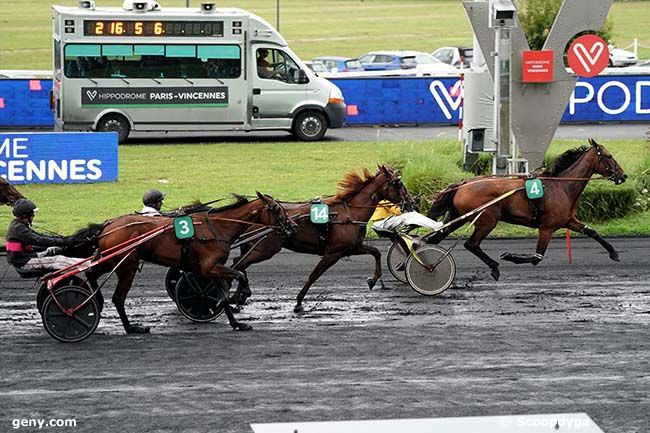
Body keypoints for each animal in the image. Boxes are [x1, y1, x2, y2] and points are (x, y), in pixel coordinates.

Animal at [74, 193, 294, 334]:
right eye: (276, 208)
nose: (292, 226)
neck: (217, 227)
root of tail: (107, 226)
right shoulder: (210, 267)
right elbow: (238, 276)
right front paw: (239, 297)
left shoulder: (212, 268)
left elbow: (222, 294)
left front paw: (236, 323)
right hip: (126, 266)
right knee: (118, 298)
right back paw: (131, 327)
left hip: (112, 261)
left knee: (91, 272)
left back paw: (97, 301)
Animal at [230, 164, 410, 312]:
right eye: (399, 184)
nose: (410, 202)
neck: (350, 214)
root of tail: (255, 215)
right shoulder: (333, 253)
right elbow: (314, 275)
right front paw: (299, 302)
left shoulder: (351, 248)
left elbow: (376, 252)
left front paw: (372, 280)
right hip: (265, 249)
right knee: (239, 264)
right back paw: (239, 294)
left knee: (238, 262)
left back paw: (239, 295)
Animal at [422, 138, 624, 280]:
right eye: (609, 156)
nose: (623, 175)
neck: (562, 186)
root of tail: (463, 184)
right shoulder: (547, 227)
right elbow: (537, 257)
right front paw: (511, 256)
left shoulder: (569, 220)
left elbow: (592, 231)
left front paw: (614, 253)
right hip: (487, 219)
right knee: (471, 244)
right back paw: (494, 267)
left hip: (459, 217)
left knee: (435, 239)